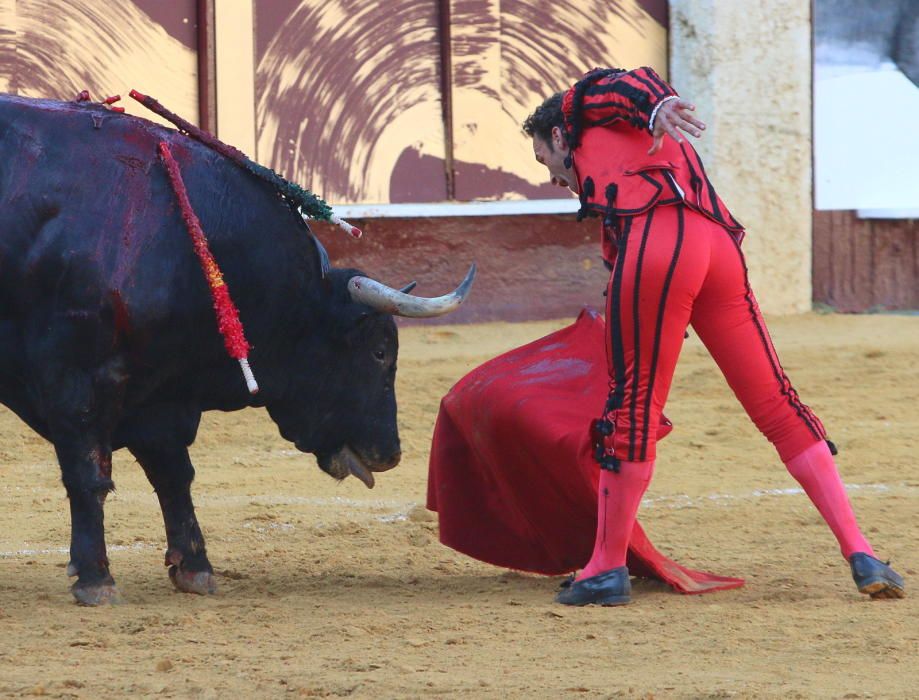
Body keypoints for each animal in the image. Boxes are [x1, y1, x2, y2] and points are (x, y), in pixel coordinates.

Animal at [0, 95, 474, 604]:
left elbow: (173, 473)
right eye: (380, 352)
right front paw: (96, 579)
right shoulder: (80, 377)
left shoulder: (160, 391)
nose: (391, 453)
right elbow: (89, 472)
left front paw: (195, 568)